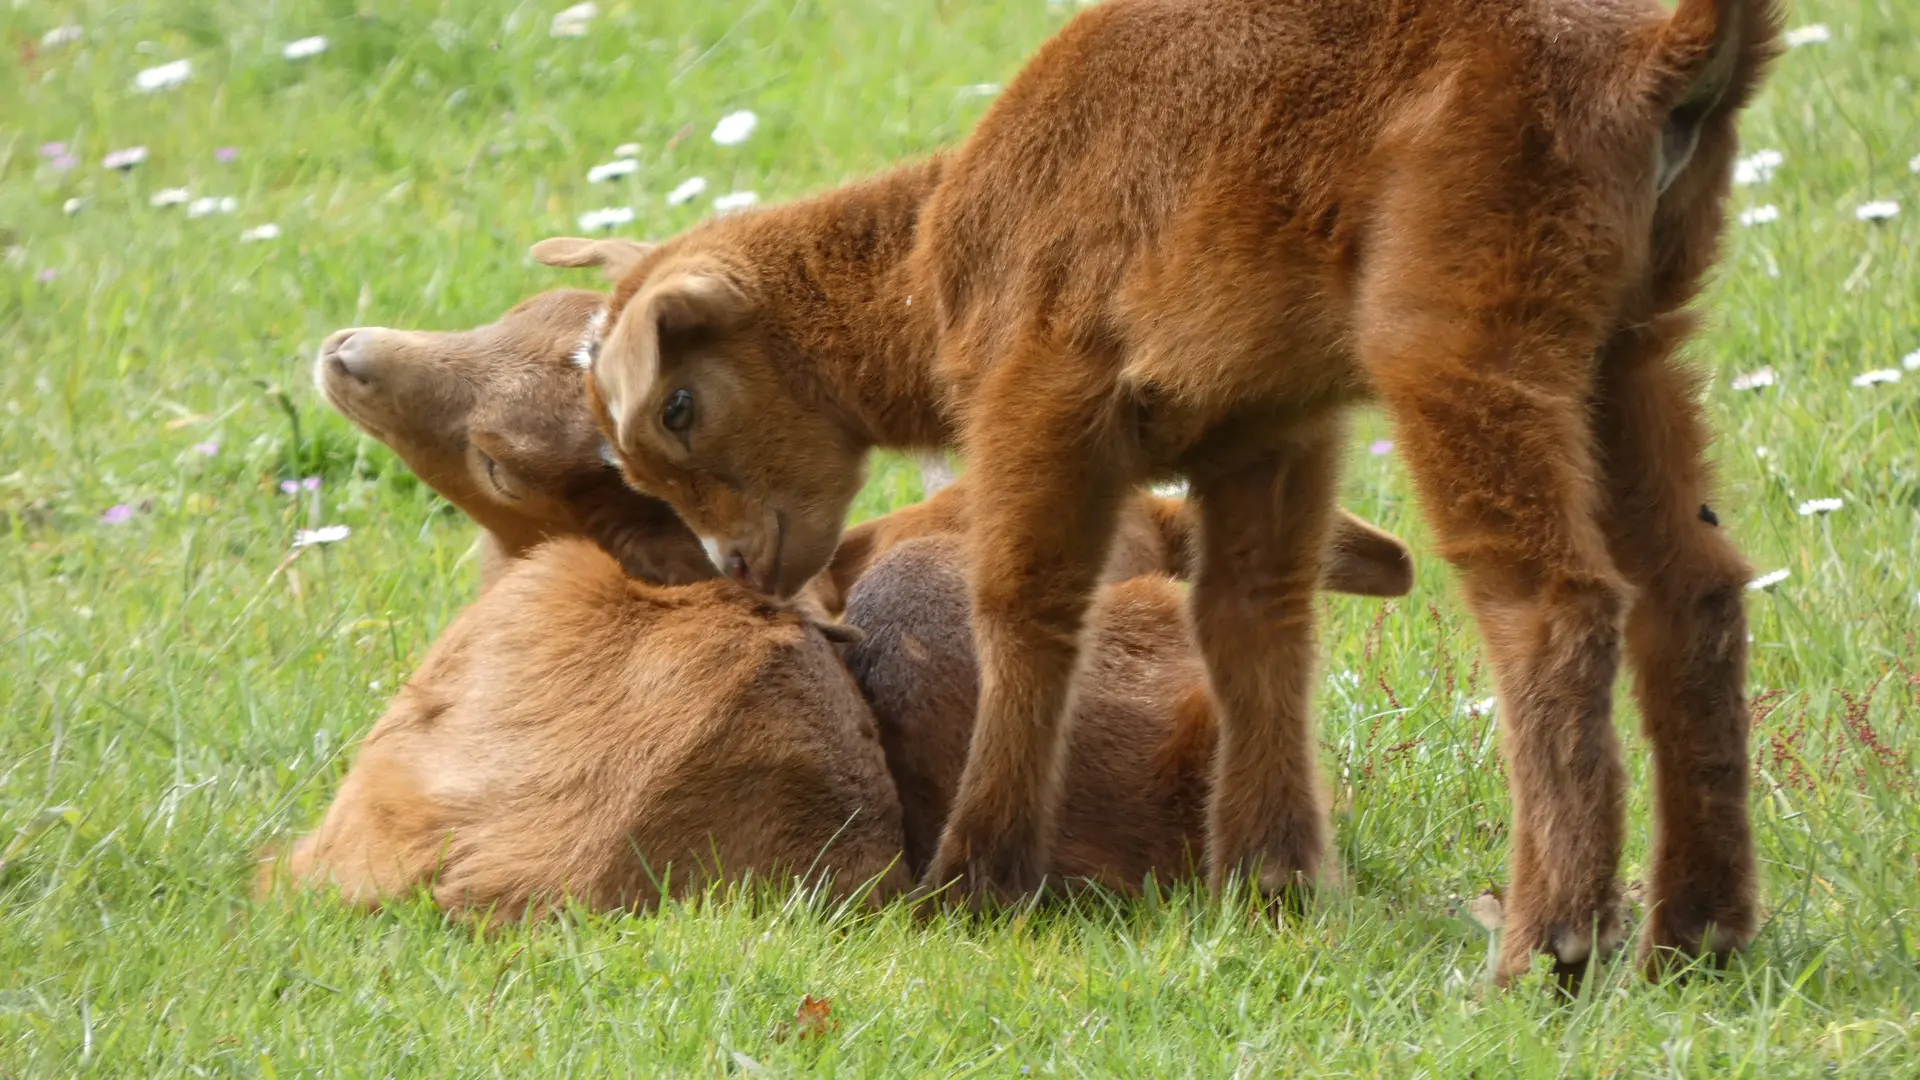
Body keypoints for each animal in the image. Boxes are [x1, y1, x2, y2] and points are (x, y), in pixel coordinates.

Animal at [572, 0, 1781, 976]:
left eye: (677, 408)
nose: (738, 569)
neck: (922, 272)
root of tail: (1653, 58)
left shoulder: (1042, 385)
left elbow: (1024, 609)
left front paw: (974, 881)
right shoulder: (1267, 426)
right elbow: (1255, 623)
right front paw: (1270, 884)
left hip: (1466, 326)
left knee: (1552, 602)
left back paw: (1550, 946)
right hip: (1635, 339)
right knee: (1694, 589)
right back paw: (1698, 937)